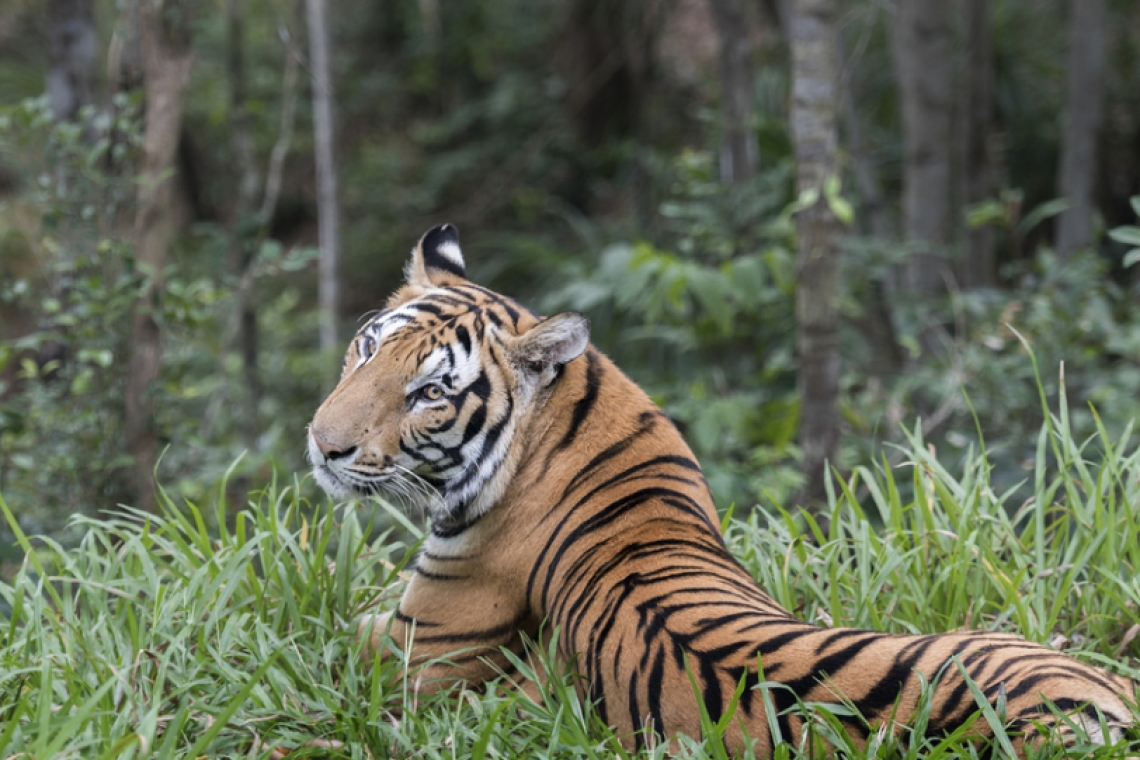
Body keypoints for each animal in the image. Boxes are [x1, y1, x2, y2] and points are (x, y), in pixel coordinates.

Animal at [307, 224, 1135, 756]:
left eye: (428, 394)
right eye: (368, 346)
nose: (323, 443)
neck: (575, 417)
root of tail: (1087, 720)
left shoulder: (413, 651)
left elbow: (328, 628)